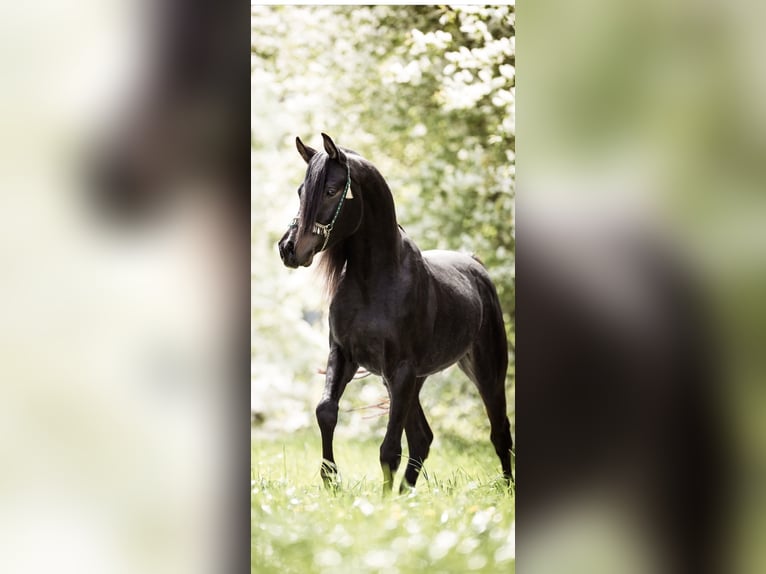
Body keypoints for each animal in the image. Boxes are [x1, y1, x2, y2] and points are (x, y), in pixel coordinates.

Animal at [278, 133, 513, 493]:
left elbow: (389, 447)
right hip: (414, 380)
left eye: (331, 190)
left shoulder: (400, 369)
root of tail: (476, 265)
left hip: (485, 371)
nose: (289, 248)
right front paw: (331, 481)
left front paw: (384, 500)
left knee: (499, 431)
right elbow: (326, 411)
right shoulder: (343, 355)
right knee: (423, 438)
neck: (373, 280)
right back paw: (406, 493)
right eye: (301, 191)